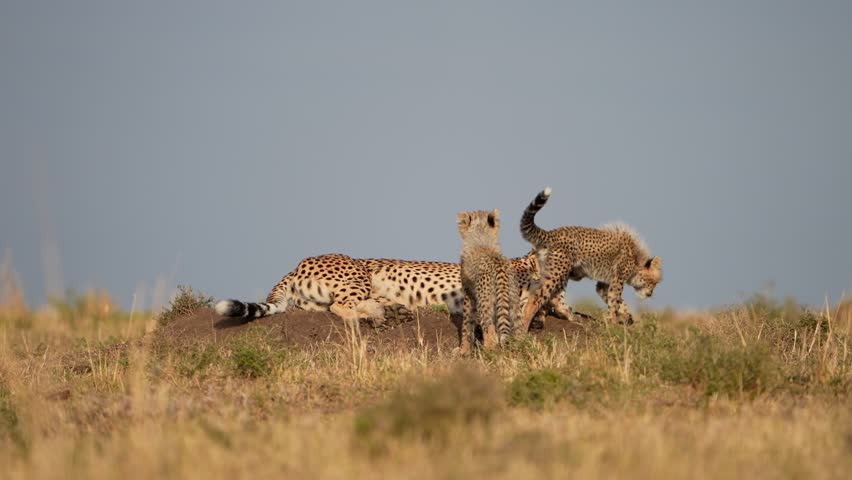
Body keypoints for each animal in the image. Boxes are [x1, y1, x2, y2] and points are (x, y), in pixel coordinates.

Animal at [518, 187, 663, 331]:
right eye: (654, 282)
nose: (650, 294)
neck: (636, 259)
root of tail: (552, 233)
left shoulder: (604, 284)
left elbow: (616, 301)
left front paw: (626, 316)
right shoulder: (618, 280)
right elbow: (614, 302)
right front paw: (613, 323)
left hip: (560, 272)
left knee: (556, 298)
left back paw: (572, 317)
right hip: (557, 272)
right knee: (536, 298)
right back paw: (524, 327)